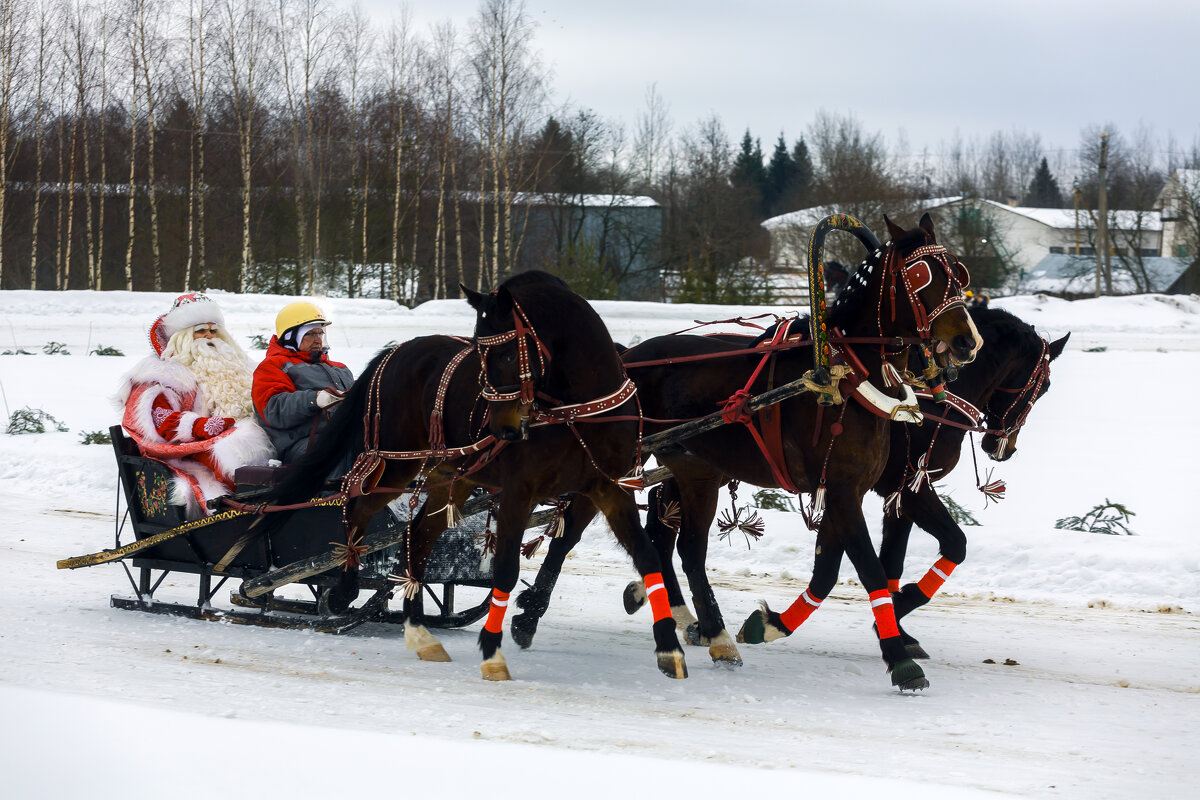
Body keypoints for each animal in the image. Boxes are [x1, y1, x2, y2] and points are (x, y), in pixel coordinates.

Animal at [258, 271, 691, 681]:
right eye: (480, 352)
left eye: (506, 352)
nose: (502, 429)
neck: (576, 409)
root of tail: (396, 351)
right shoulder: (520, 491)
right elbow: (507, 570)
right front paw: (493, 652)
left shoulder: (609, 486)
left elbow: (647, 555)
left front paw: (669, 646)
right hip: (396, 461)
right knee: (357, 505)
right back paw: (343, 588)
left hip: (452, 474)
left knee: (417, 536)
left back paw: (419, 631)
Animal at [508, 214, 984, 695]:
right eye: (922, 275)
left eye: (958, 274)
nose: (968, 341)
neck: (843, 377)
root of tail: (625, 360)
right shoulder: (844, 490)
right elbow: (868, 569)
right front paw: (900, 659)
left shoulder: (846, 488)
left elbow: (830, 569)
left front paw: (772, 623)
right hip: (621, 464)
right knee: (572, 533)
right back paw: (532, 617)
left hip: (696, 473)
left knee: (688, 550)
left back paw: (713, 634)